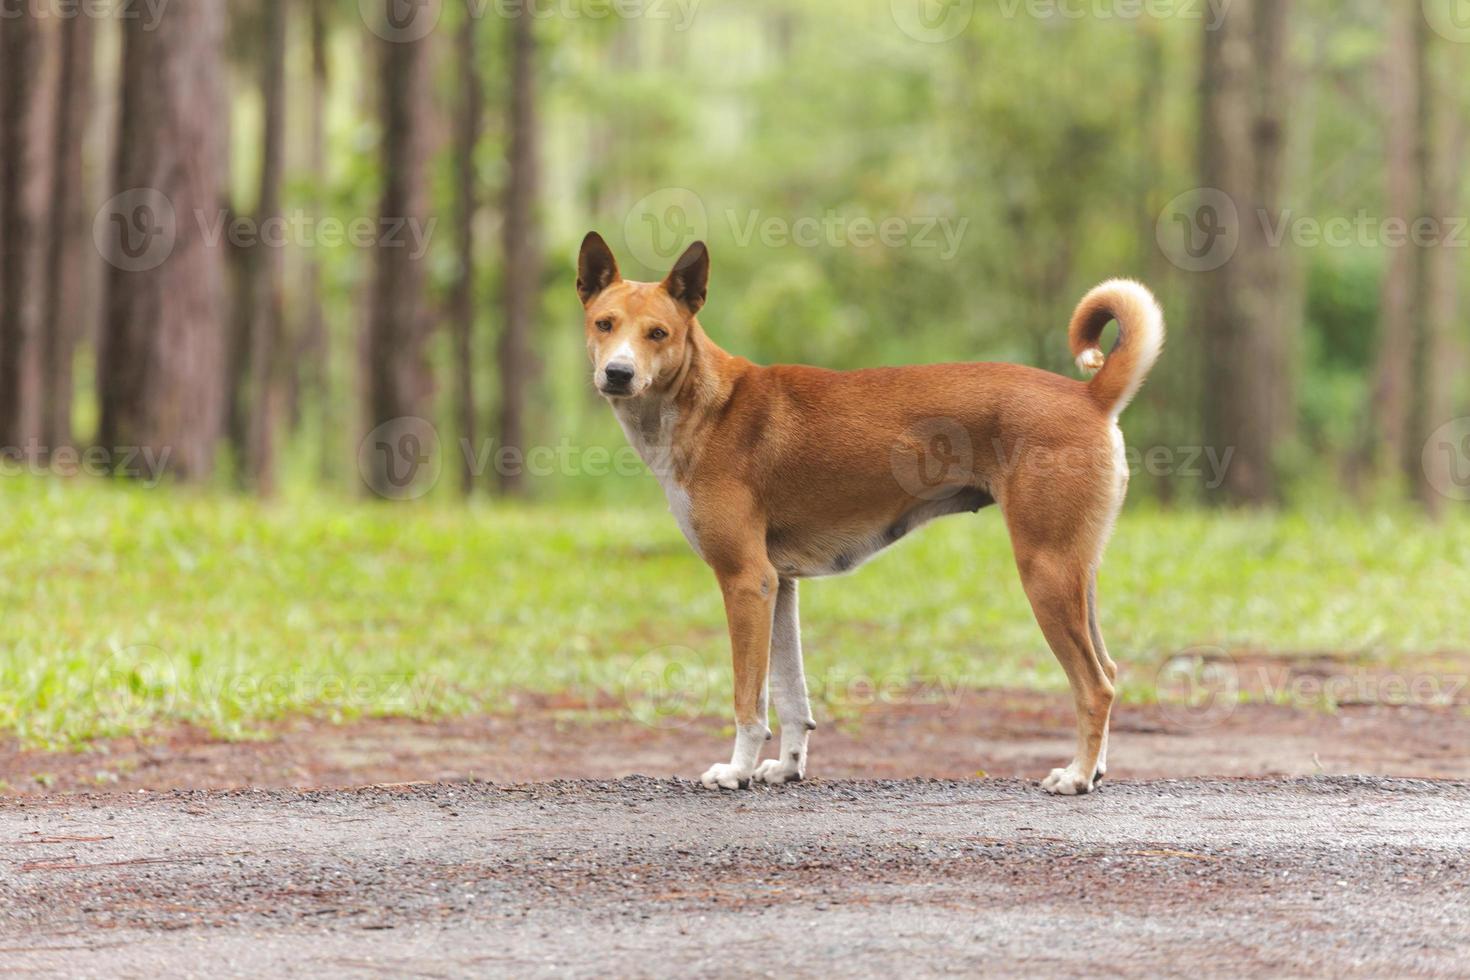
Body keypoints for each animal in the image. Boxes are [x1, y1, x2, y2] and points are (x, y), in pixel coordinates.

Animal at [579, 233, 1164, 793]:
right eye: (604, 324)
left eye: (658, 333)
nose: (618, 373)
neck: (707, 406)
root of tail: (1090, 395)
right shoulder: (778, 585)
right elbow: (792, 697)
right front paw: (787, 768)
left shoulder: (746, 581)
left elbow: (750, 700)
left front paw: (736, 771)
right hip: (1076, 573)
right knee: (1110, 669)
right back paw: (1096, 770)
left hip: (1044, 573)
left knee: (1095, 685)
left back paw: (1077, 776)